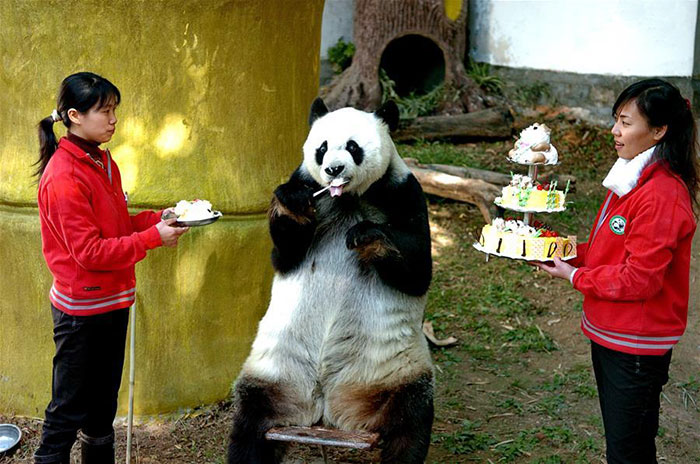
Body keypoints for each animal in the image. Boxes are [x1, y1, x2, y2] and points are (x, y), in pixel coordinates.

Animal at [227, 98, 434, 464]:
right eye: (322, 148)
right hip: (274, 371)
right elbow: (284, 254)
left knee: (410, 423)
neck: (345, 199)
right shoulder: (308, 186)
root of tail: (327, 409)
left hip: (396, 370)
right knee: (250, 424)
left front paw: (367, 236)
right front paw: (294, 204)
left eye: (353, 147)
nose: (334, 170)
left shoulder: (403, 194)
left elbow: (418, 270)